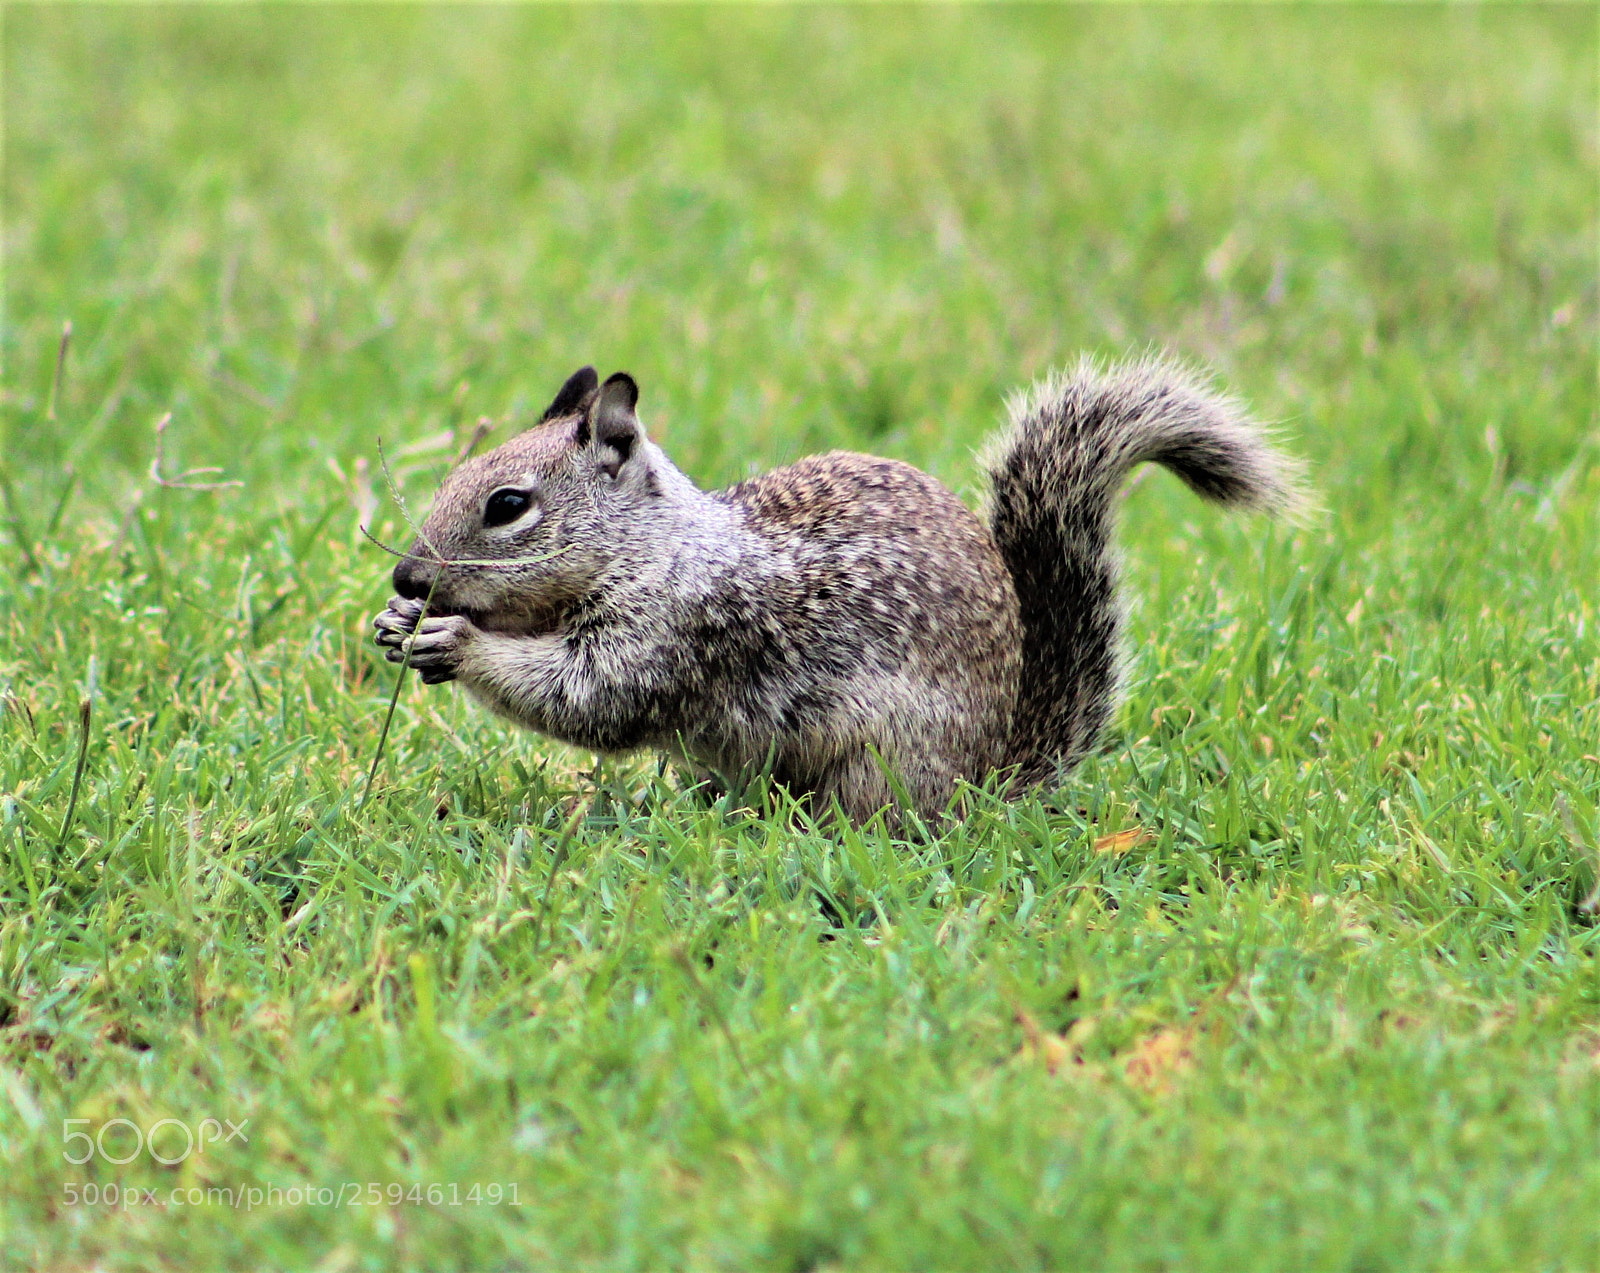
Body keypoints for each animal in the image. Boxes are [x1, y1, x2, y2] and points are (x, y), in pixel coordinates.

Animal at [373, 357, 1302, 823]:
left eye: (507, 505)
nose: (406, 574)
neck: (657, 548)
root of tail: (986, 778)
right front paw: (396, 623)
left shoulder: (683, 631)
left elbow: (587, 699)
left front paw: (456, 641)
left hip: (875, 757)